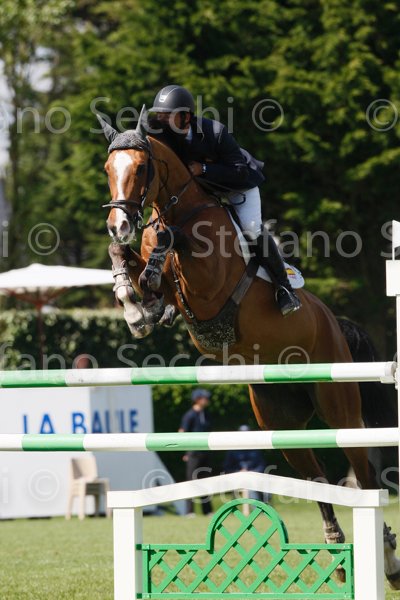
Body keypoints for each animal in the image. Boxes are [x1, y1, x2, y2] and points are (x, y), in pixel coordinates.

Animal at [98, 110, 400, 588]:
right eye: (108, 169)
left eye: (141, 168)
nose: (121, 223)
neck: (179, 204)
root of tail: (335, 322)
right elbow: (130, 262)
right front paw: (135, 307)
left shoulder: (209, 280)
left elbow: (171, 242)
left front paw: (147, 285)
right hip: (280, 422)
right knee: (314, 475)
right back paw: (335, 547)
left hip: (339, 409)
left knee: (365, 472)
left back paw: (385, 554)